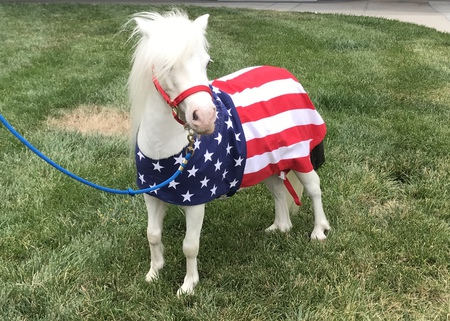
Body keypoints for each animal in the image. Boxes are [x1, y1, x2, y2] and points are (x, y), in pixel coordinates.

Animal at [126, 10, 330, 296]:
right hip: (267, 163)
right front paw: (154, 273)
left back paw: (319, 231)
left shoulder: (195, 202)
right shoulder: (152, 194)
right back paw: (280, 227)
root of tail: (286, 75)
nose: (205, 118)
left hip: (300, 156)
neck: (167, 149)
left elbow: (190, 246)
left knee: (314, 188)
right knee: (279, 192)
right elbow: (152, 235)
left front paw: (188, 286)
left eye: (207, 62)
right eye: (166, 66)